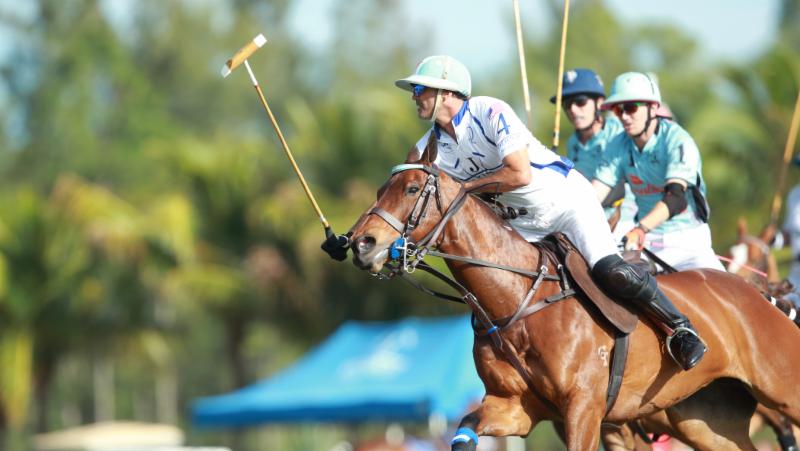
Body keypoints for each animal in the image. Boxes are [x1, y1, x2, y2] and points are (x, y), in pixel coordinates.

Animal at [347, 136, 800, 450]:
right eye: (378, 191)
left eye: (410, 190)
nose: (360, 243)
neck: (518, 300)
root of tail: (761, 296)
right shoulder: (517, 408)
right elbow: (465, 430)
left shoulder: (585, 407)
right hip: (704, 418)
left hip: (781, 390)